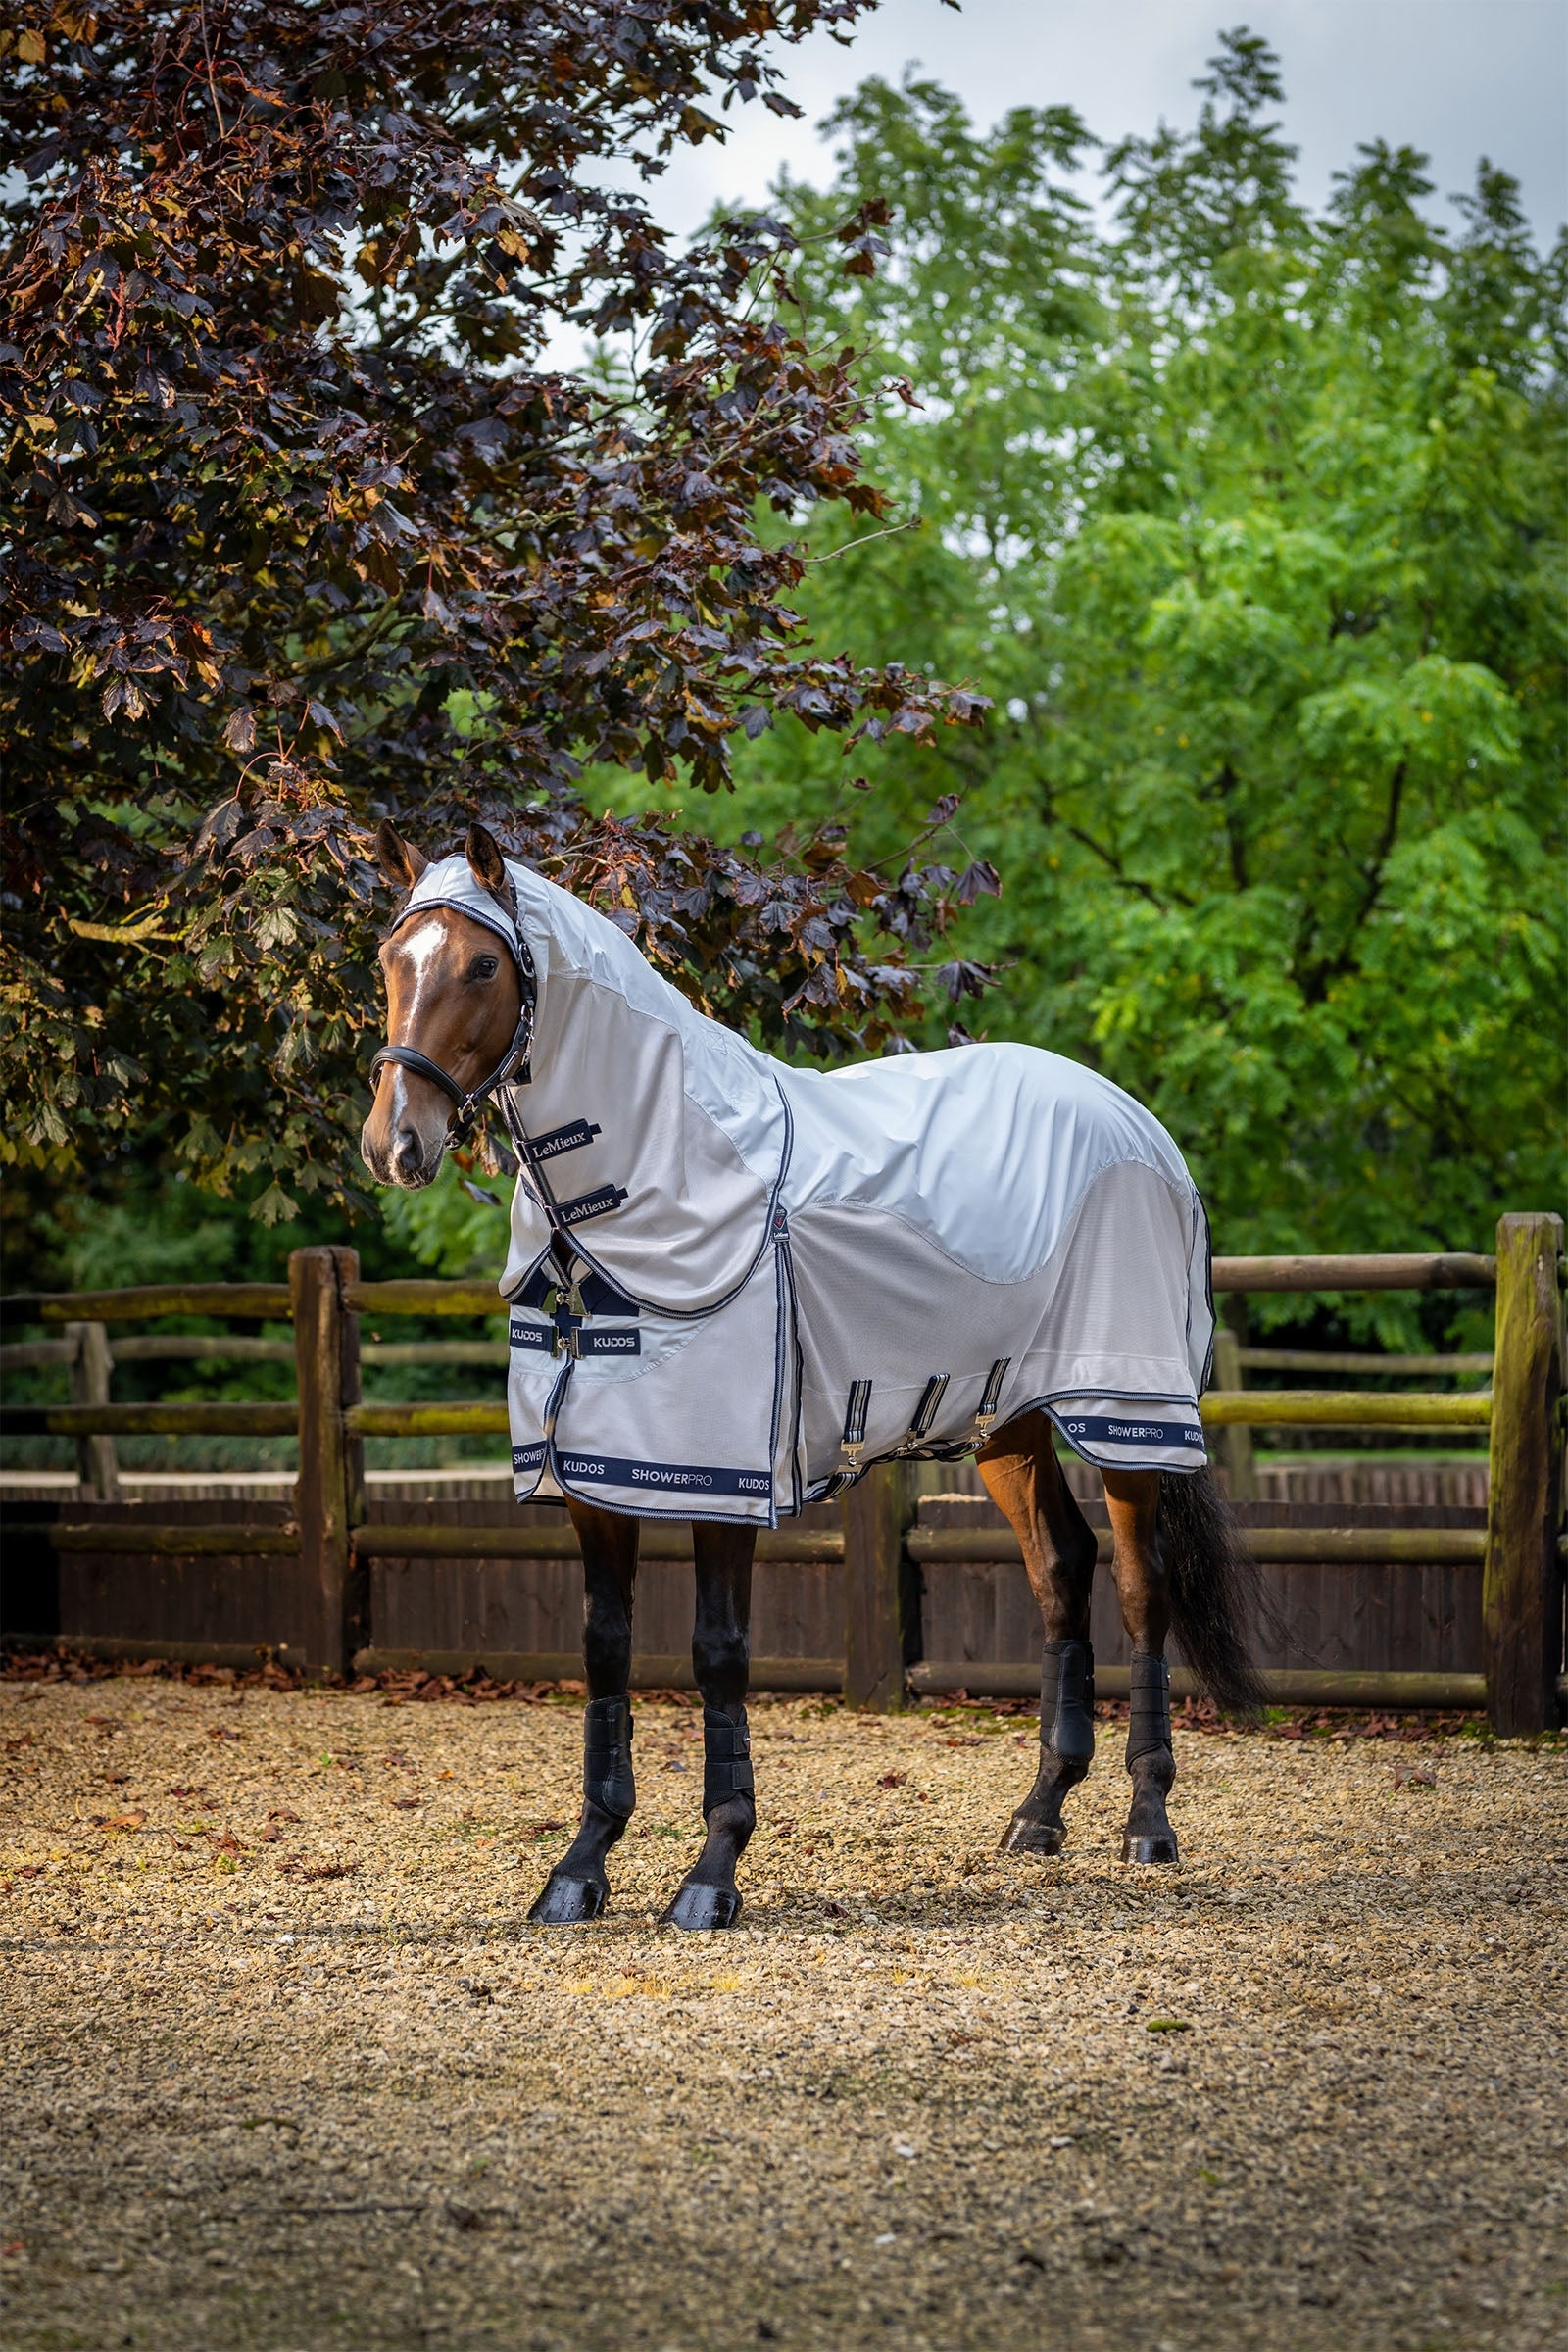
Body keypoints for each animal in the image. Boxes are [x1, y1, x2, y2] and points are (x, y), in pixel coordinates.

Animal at [361, 822, 1259, 1930]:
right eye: (389, 960)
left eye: (483, 965)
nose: (393, 1142)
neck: (661, 1179)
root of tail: (1140, 1128)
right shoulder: (595, 1481)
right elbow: (604, 1647)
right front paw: (580, 1867)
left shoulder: (722, 1484)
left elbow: (717, 1653)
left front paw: (711, 1874)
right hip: (1008, 1421)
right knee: (1060, 1571)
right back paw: (1040, 1813)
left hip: (1124, 1414)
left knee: (1140, 1590)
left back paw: (1146, 1823)